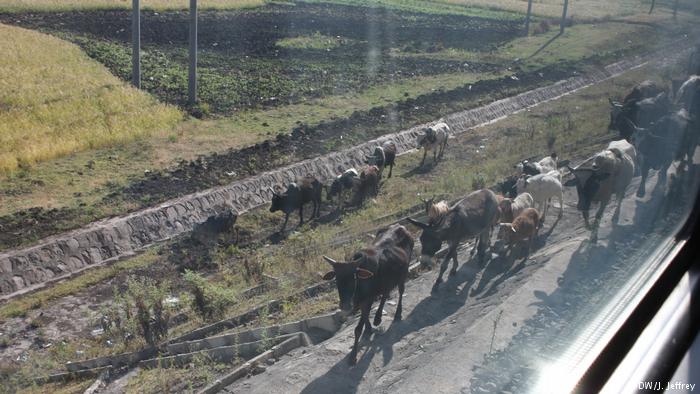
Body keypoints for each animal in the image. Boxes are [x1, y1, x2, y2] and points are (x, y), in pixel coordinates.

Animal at [322, 225, 412, 366]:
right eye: (336, 279)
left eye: (353, 277)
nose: (345, 306)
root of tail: (400, 227)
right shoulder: (362, 302)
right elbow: (364, 317)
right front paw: (368, 329)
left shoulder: (367, 299)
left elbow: (358, 328)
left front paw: (353, 356)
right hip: (387, 281)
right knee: (385, 294)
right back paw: (378, 318)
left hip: (403, 274)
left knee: (401, 292)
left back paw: (397, 314)